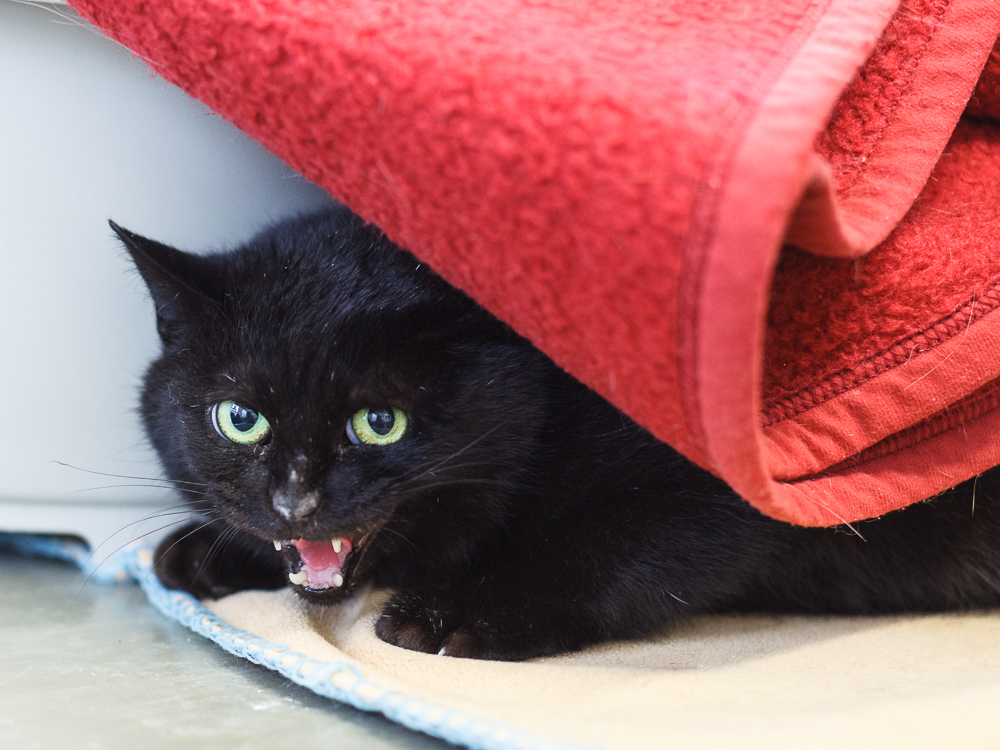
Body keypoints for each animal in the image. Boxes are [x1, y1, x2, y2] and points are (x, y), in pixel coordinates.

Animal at [119, 207, 1000, 664]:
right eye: (241, 418)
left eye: (380, 422)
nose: (296, 502)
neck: (550, 404)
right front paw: (205, 551)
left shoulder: (729, 484)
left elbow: (602, 549)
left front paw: (460, 612)